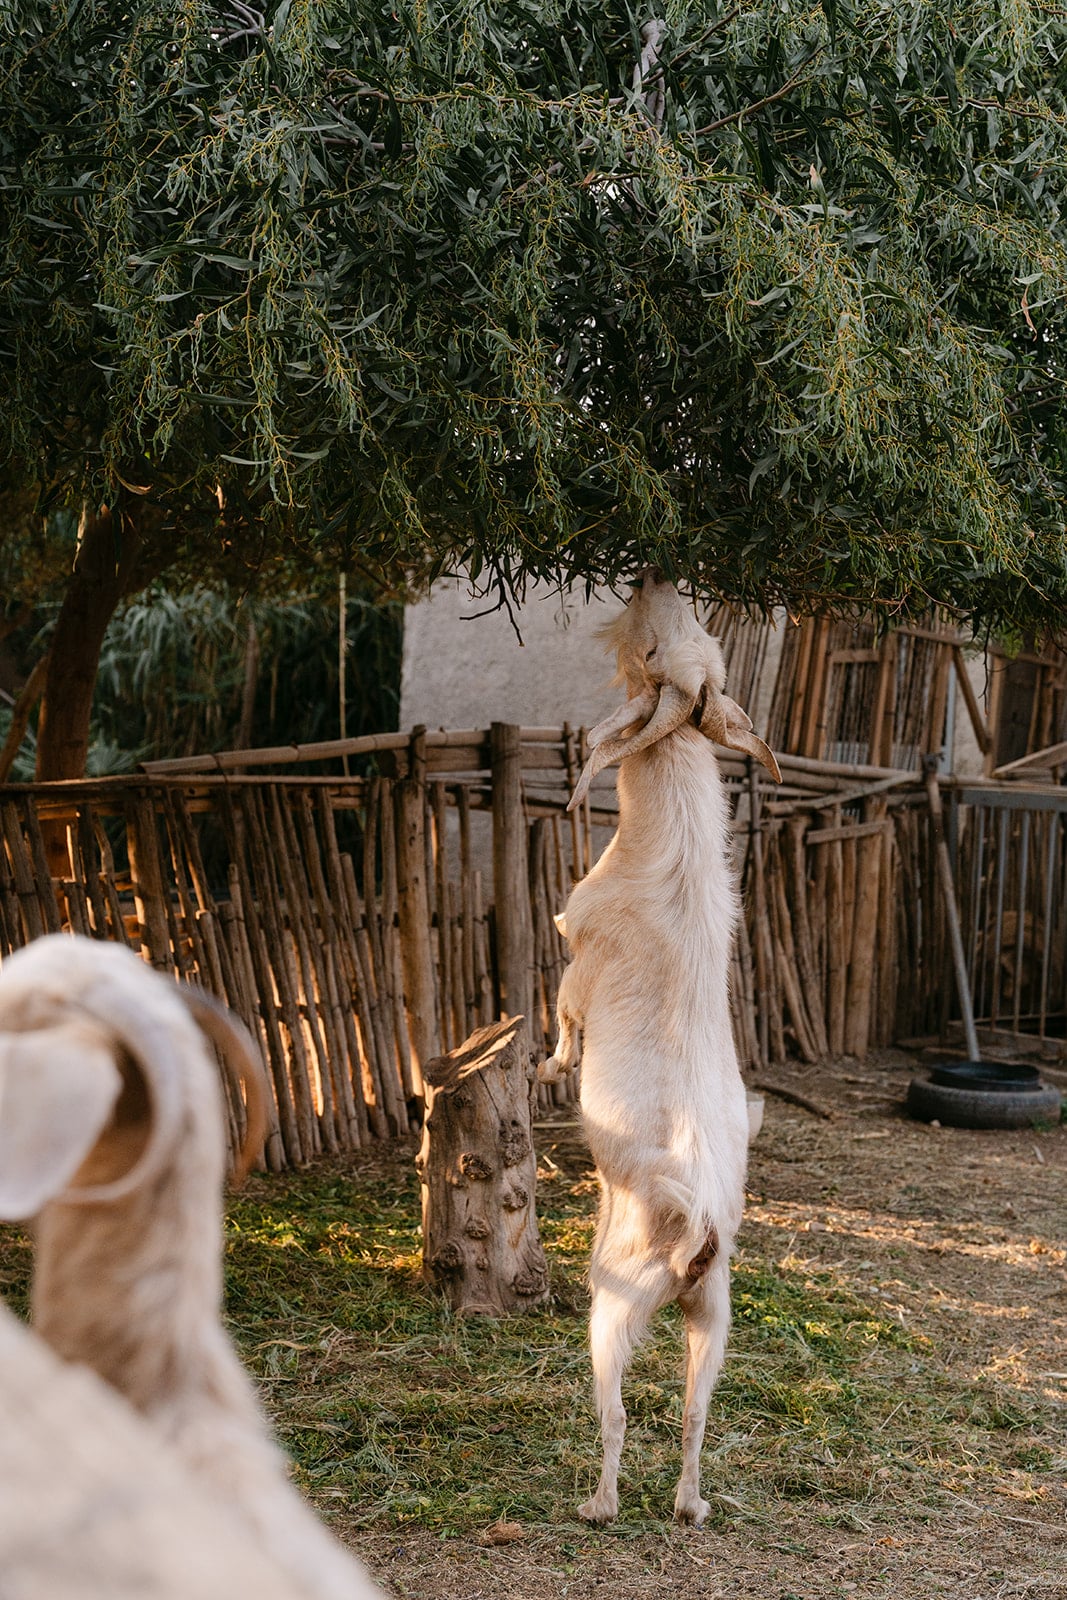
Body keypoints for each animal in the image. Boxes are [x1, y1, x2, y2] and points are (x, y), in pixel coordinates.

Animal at [538, 572, 781, 1525]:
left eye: (649, 657)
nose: (653, 578)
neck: (668, 856)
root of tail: (698, 1234)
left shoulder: (577, 957)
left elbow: (562, 1019)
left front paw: (550, 1067)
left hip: (616, 1305)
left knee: (613, 1412)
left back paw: (598, 1504)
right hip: (715, 1316)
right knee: (692, 1415)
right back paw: (688, 1506)